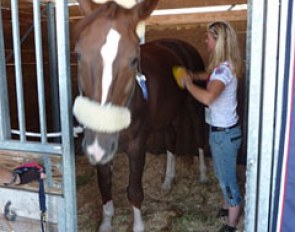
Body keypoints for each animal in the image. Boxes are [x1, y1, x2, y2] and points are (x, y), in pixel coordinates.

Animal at [73, 0, 207, 231]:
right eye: (78, 54)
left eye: (134, 60)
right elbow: (104, 185)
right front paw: (106, 223)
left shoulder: (137, 145)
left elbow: (134, 191)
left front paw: (137, 226)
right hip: (168, 114)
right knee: (171, 140)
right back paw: (167, 181)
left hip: (193, 105)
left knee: (199, 133)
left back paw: (203, 175)